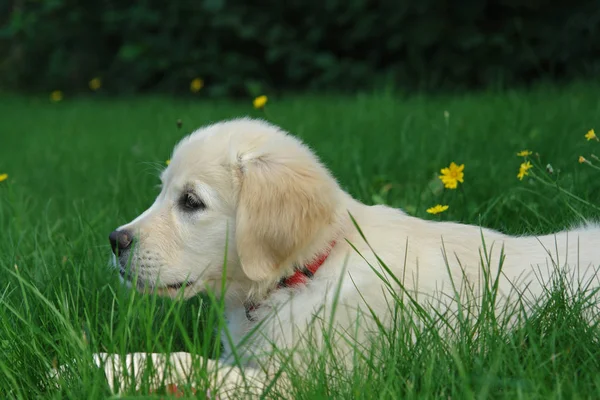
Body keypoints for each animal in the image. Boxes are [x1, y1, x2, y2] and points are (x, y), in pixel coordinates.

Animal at [98, 117, 600, 398]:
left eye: (191, 202)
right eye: (163, 191)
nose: (115, 240)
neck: (302, 274)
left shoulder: (307, 381)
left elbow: (192, 365)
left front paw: (104, 366)